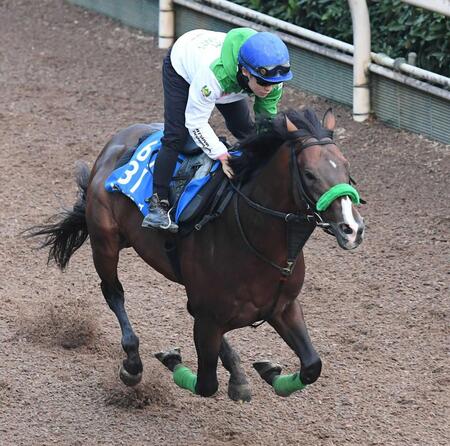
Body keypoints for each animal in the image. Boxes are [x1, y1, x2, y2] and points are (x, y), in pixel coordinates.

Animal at [27, 107, 366, 400]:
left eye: (347, 167)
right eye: (309, 174)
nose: (352, 228)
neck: (258, 242)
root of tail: (114, 144)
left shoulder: (282, 307)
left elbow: (312, 366)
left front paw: (268, 372)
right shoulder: (209, 318)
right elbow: (205, 384)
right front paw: (171, 359)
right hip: (105, 243)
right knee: (114, 293)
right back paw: (133, 363)